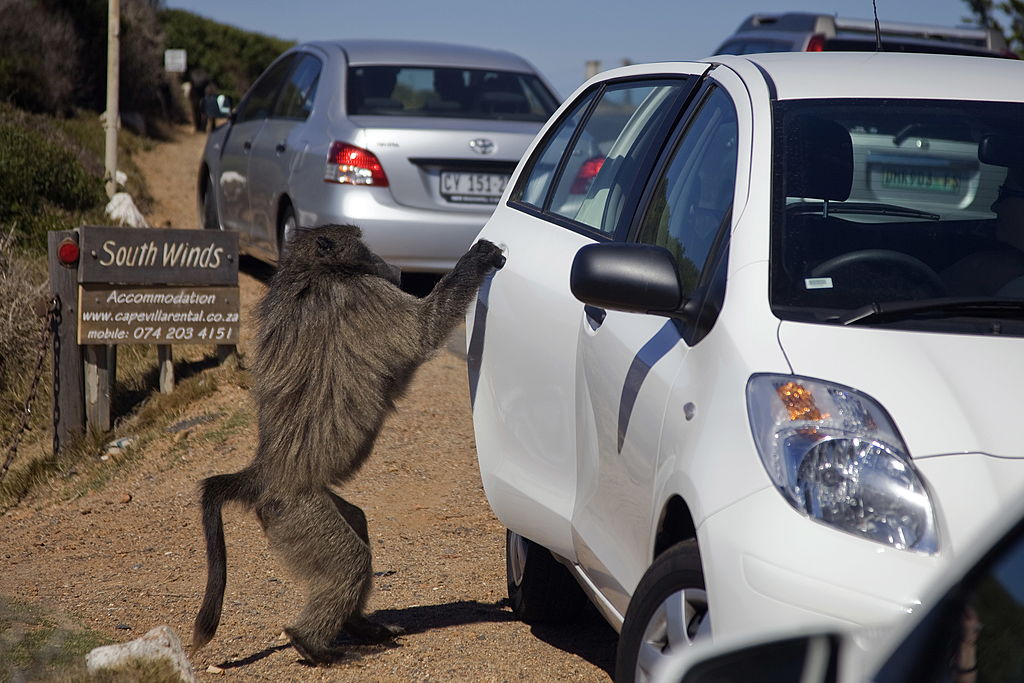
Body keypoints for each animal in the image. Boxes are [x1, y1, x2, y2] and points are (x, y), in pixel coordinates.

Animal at [192, 224, 505, 665]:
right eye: (365, 244)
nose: (394, 267)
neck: (310, 270)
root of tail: (264, 473)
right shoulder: (364, 294)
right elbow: (423, 330)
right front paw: (479, 256)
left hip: (299, 512)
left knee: (355, 522)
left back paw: (361, 626)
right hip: (295, 512)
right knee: (349, 562)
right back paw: (313, 644)